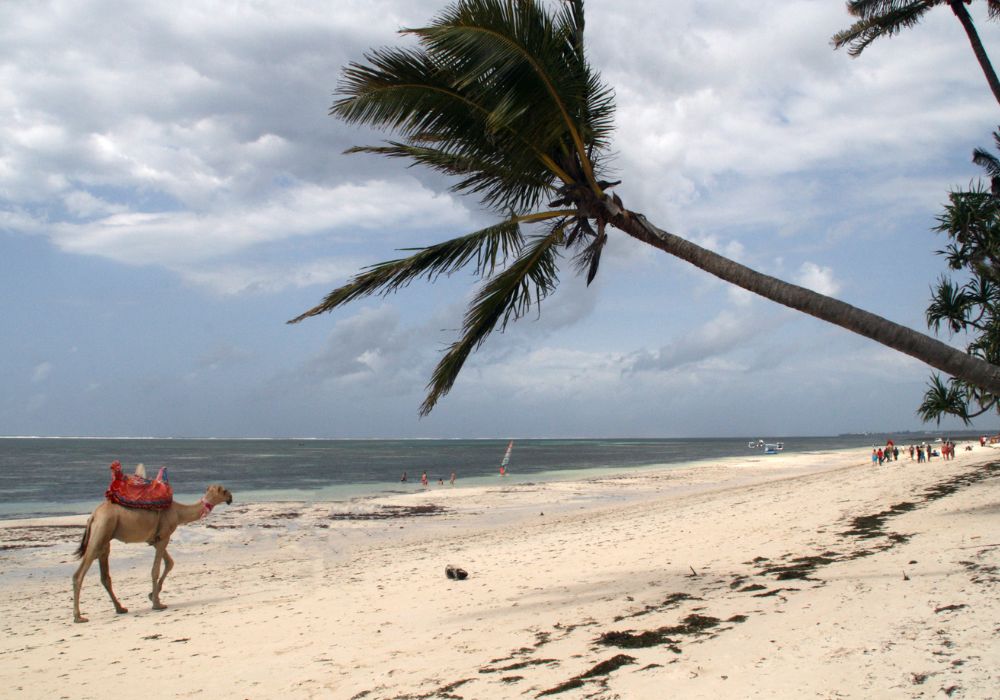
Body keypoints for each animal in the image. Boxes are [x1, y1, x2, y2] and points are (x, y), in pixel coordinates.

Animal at [72, 482, 232, 624]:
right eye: (224, 490)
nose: (230, 497)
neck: (178, 512)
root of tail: (93, 516)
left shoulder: (156, 540)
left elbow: (170, 563)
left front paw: (152, 596)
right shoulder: (164, 537)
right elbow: (156, 570)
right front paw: (157, 604)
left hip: (105, 539)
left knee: (105, 576)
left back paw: (120, 608)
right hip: (101, 531)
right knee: (79, 574)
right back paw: (79, 617)